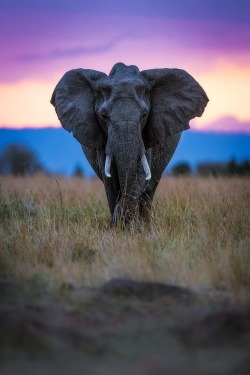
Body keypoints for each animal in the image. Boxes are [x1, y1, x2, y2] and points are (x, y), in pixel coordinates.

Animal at [49, 62, 208, 228]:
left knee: (150, 188)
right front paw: (117, 228)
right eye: (103, 116)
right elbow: (111, 180)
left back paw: (145, 227)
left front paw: (128, 227)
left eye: (144, 115)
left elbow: (140, 174)